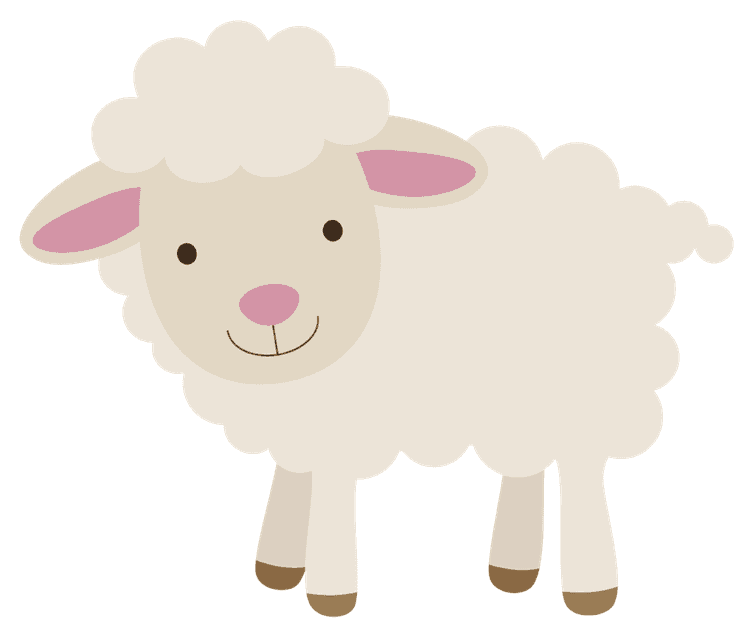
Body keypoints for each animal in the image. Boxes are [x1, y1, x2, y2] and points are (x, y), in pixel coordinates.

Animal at [2, 2, 747, 635]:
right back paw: (511, 573)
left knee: (586, 475)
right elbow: (289, 484)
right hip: (522, 392)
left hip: (599, 387)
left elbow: (330, 499)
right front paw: (275, 571)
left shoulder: (342, 427)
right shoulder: (299, 422)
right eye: (184, 252)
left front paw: (330, 597)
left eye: (334, 228)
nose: (270, 304)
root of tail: (664, 209)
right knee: (529, 465)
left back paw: (587, 593)